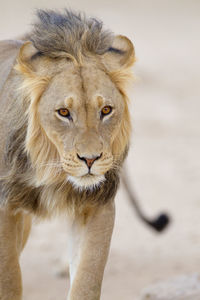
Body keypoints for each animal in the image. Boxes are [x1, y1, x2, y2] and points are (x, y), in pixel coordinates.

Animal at [0, 9, 134, 300]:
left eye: (106, 110)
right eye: (63, 112)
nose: (90, 159)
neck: (51, 172)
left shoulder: (97, 204)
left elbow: (87, 280)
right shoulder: (4, 206)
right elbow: (10, 279)